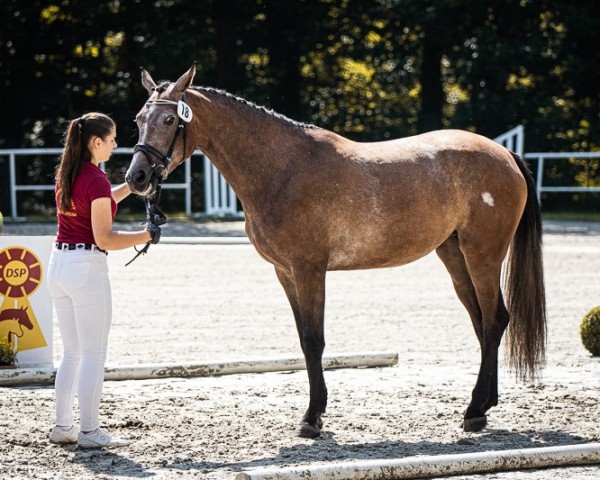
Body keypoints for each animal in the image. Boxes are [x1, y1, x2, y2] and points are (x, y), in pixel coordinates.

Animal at [126, 64, 548, 438]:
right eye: (138, 119)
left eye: (169, 120)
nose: (137, 177)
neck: (283, 169)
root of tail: (505, 155)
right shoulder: (285, 272)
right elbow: (303, 340)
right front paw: (316, 411)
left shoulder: (309, 269)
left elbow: (315, 340)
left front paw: (312, 418)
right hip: (454, 255)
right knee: (482, 322)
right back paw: (485, 405)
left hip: (483, 255)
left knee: (495, 320)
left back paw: (474, 410)